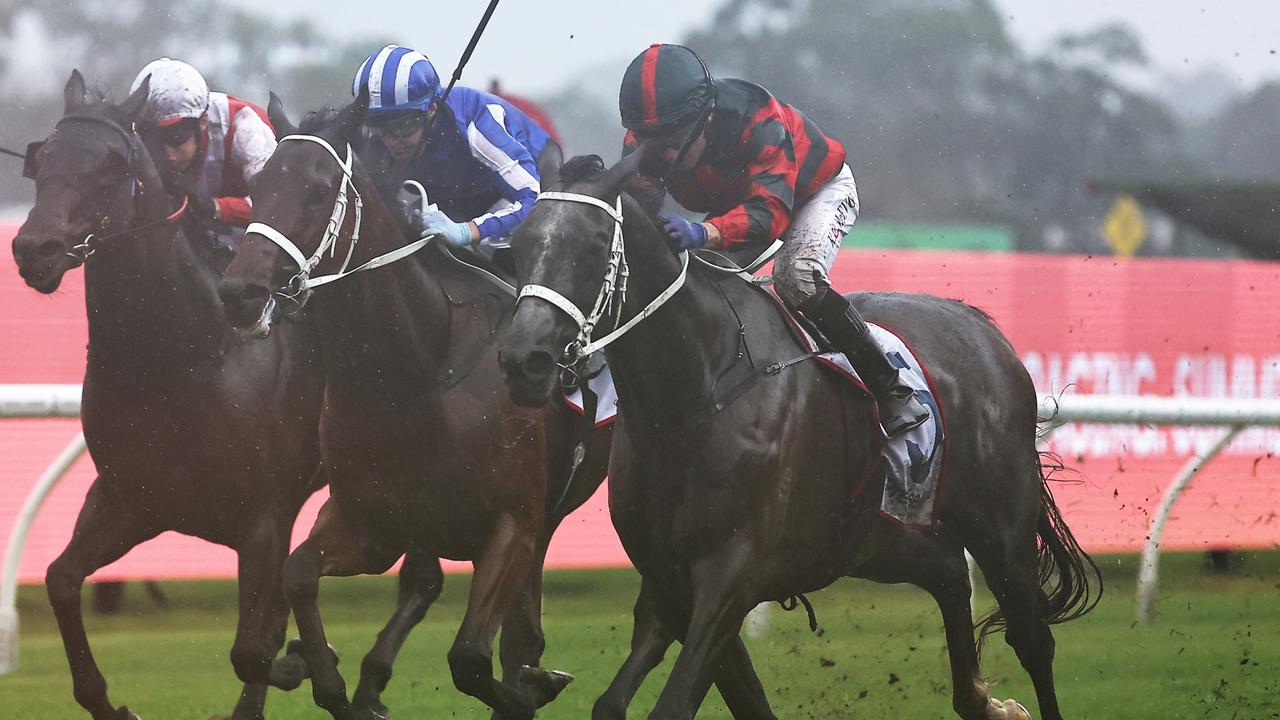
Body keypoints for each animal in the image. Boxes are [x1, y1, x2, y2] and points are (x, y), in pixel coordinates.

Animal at [10, 68, 327, 717]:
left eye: (110, 165)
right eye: (43, 157)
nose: (35, 249)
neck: (177, 361)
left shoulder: (263, 516)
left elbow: (254, 645)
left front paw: (297, 660)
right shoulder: (133, 499)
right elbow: (60, 580)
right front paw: (113, 703)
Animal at [216, 90, 614, 717]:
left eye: (318, 189)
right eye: (257, 188)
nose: (239, 293)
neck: (409, 380)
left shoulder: (514, 526)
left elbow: (472, 657)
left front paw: (532, 685)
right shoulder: (370, 523)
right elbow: (297, 575)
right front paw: (326, 677)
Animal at [499, 152, 1100, 717]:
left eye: (592, 243)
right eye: (521, 242)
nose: (522, 361)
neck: (693, 397)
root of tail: (983, 328)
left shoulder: (733, 573)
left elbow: (674, 703)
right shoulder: (667, 575)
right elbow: (617, 700)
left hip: (1000, 525)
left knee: (1032, 638)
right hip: (876, 538)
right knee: (950, 573)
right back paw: (982, 700)